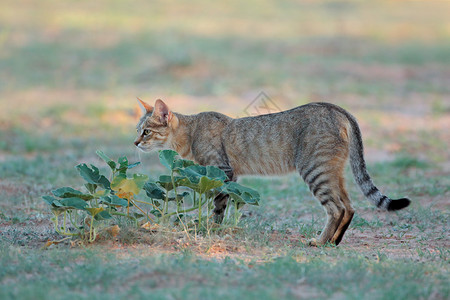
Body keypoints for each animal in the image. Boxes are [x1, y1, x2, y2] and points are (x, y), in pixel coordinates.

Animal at [132, 98, 410, 246]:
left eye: (146, 131)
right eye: (137, 130)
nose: (134, 143)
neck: (191, 132)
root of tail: (337, 108)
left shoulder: (222, 172)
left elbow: (218, 207)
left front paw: (210, 229)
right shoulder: (231, 177)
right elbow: (227, 203)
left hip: (315, 171)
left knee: (337, 208)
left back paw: (320, 242)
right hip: (333, 172)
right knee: (350, 206)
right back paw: (334, 241)